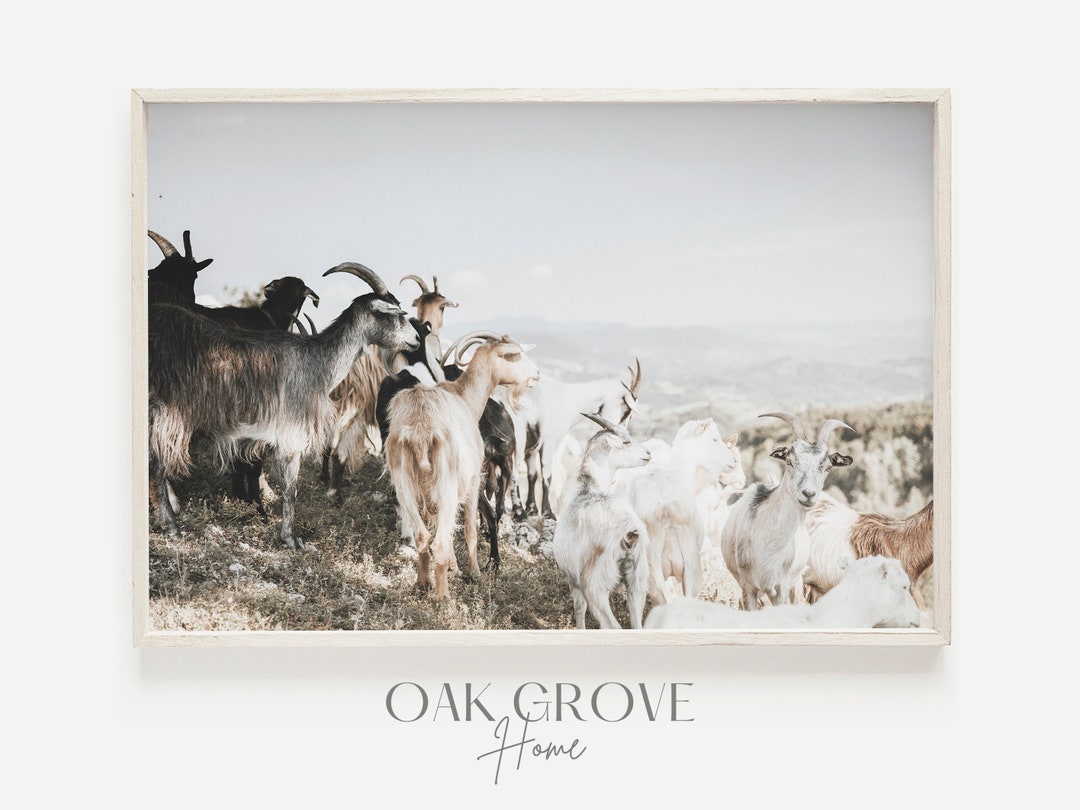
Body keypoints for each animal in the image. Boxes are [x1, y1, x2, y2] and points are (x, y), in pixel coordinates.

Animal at [148, 262, 420, 550]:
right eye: (396, 313)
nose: (415, 339)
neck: (317, 362)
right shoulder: (291, 435)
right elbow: (290, 489)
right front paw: (291, 538)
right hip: (169, 411)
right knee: (156, 466)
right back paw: (172, 527)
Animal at [385, 336, 540, 599]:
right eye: (515, 355)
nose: (537, 373)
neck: (464, 397)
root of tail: (420, 429)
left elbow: (447, 529)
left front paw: (453, 567)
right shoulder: (473, 481)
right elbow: (469, 529)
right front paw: (473, 571)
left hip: (405, 484)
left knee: (423, 537)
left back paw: (423, 584)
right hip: (445, 482)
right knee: (438, 541)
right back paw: (443, 597)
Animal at [553, 413, 653, 629]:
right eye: (626, 441)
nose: (648, 453)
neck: (588, 487)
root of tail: (628, 535)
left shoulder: (574, 579)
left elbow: (579, 607)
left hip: (596, 586)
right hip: (637, 581)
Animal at [721, 412, 854, 609]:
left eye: (828, 467)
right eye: (789, 461)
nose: (808, 494)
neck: (769, 545)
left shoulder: (781, 587)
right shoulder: (748, 587)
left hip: (796, 581)